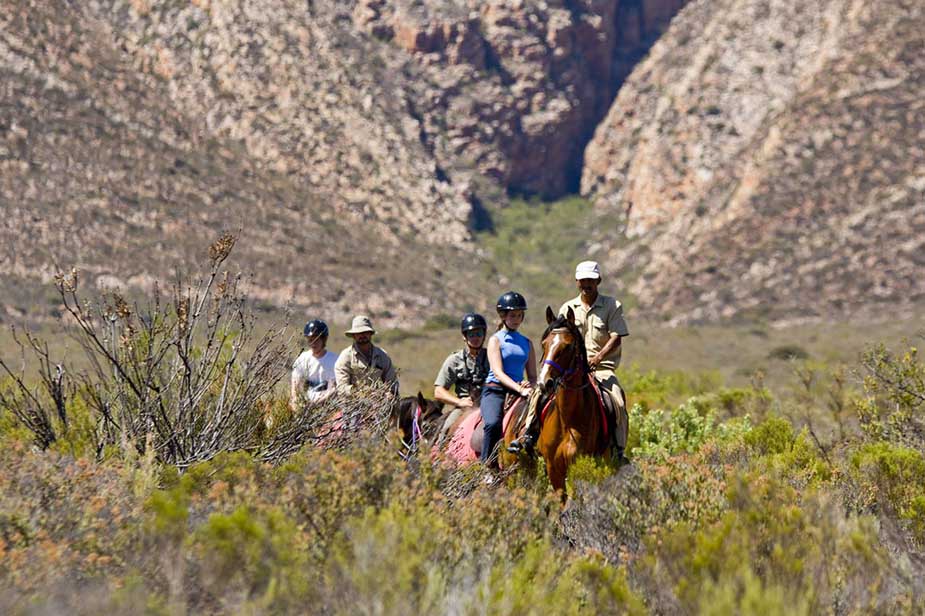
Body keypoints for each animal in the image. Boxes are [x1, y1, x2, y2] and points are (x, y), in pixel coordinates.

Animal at [524, 306, 608, 498]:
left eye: (568, 346)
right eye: (544, 344)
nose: (544, 383)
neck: (567, 421)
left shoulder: (578, 466)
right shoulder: (553, 468)